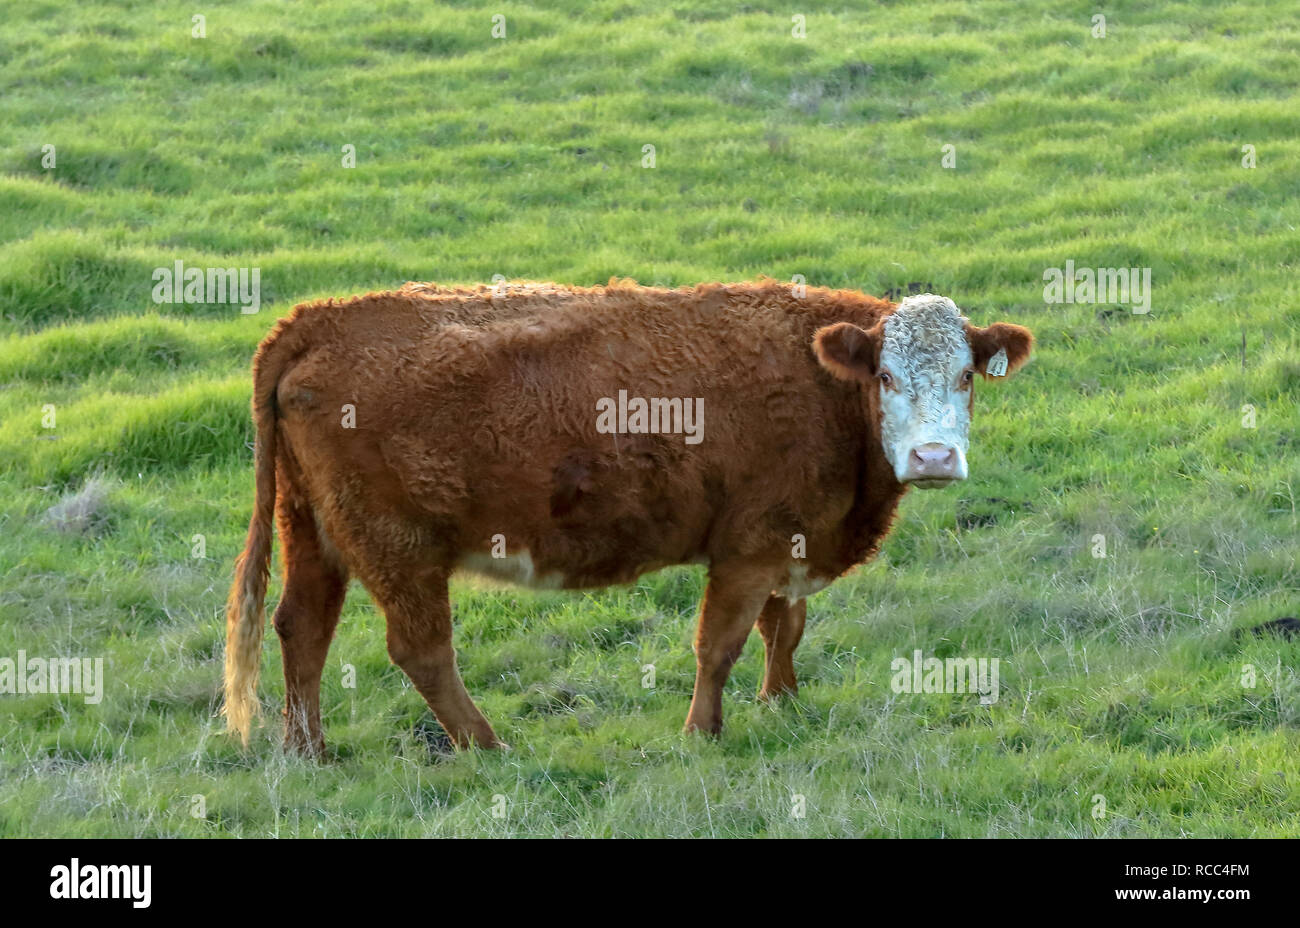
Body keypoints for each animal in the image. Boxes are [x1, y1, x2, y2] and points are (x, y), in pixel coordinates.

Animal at [222, 279, 1033, 754]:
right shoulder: (749, 546)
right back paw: (486, 745)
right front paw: (703, 733)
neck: (821, 385)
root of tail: (317, 321)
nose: (933, 457)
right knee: (419, 650)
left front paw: (782, 701)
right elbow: (720, 644)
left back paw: (307, 750)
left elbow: (784, 627)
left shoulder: (790, 540)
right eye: (887, 376)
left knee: (301, 628)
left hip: (313, 529)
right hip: (400, 547)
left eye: (966, 375)